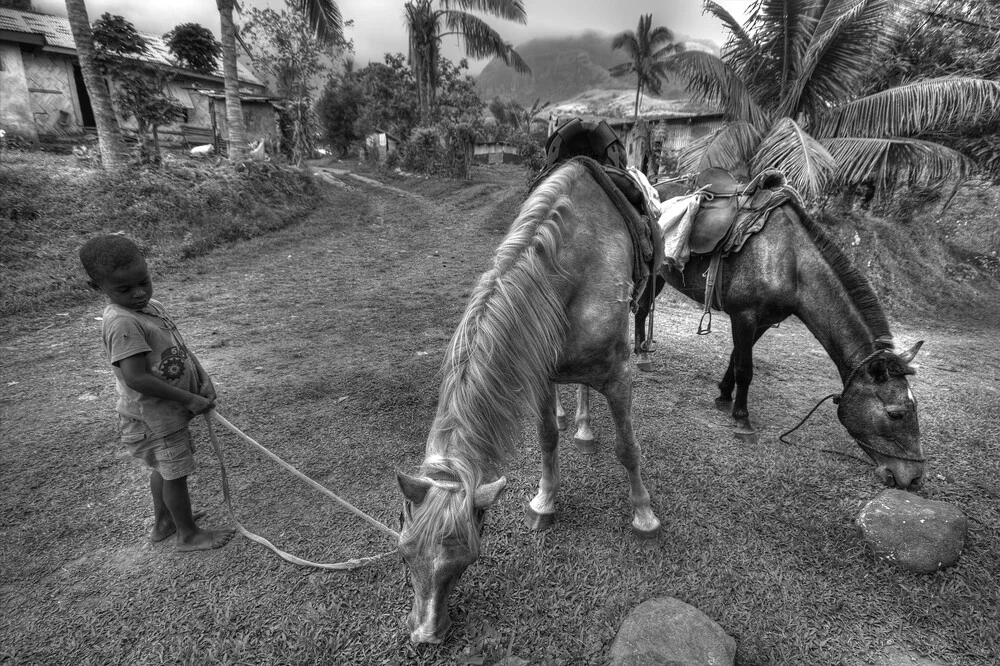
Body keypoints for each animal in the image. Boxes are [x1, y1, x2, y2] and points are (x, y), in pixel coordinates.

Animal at [394, 157, 660, 644]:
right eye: (404, 552)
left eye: (466, 558)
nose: (425, 635)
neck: (572, 265)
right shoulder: (541, 372)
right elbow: (547, 438)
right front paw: (545, 502)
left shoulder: (618, 374)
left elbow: (628, 448)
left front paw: (644, 517)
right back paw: (580, 424)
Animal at [564, 182, 920, 488]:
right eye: (896, 413)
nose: (914, 479)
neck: (790, 261)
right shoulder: (745, 315)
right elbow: (746, 369)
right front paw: (742, 420)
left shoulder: (759, 321)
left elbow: (736, 360)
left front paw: (724, 395)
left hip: (660, 275)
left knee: (642, 311)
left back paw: (642, 352)